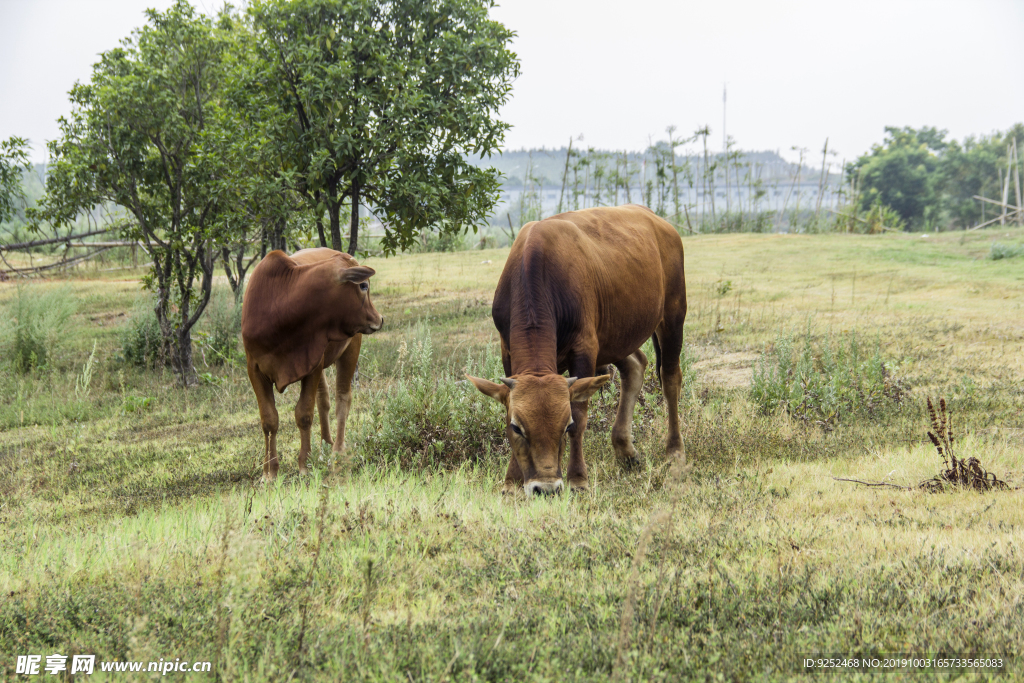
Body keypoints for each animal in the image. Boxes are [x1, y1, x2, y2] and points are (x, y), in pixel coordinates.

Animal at [241, 248, 382, 479]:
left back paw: (337, 451)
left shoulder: (312, 365)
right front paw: (269, 472)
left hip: (351, 346)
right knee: (323, 401)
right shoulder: (255, 369)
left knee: (342, 399)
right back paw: (325, 446)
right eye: (363, 286)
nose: (379, 319)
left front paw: (305, 465)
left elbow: (304, 414)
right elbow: (269, 420)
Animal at [468, 205, 684, 493]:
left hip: (672, 315)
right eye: (517, 428)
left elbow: (581, 413)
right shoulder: (507, 349)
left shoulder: (585, 348)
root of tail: (659, 221)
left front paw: (577, 479)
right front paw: (511, 481)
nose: (545, 488)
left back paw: (674, 450)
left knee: (670, 378)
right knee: (636, 366)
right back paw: (625, 449)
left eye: (565, 426)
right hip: (616, 336)